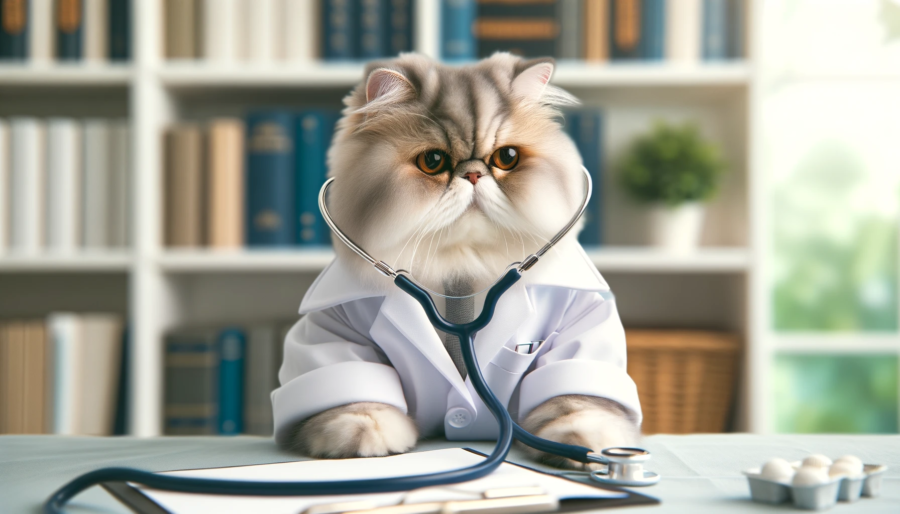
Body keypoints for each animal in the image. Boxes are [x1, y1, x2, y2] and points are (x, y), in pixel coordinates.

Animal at [284, 54, 636, 466]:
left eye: (506, 158)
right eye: (433, 161)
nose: (473, 174)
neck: (460, 270)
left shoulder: (581, 326)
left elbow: (577, 399)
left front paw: (591, 443)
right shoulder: (333, 332)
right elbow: (353, 390)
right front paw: (365, 431)